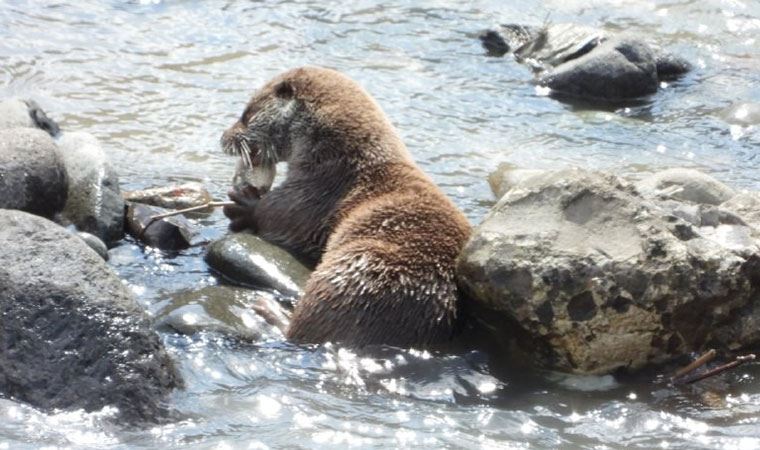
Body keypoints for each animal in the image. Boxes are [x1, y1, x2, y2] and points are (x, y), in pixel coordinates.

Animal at [218, 67, 470, 348]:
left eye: (246, 114)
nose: (223, 137)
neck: (345, 164)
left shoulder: (314, 196)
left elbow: (279, 215)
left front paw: (245, 206)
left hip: (351, 272)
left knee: (302, 332)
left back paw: (269, 311)